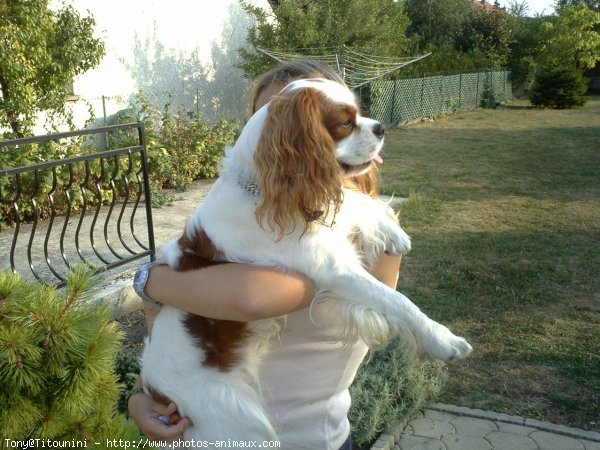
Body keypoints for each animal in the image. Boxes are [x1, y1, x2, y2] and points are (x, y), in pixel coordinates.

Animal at [138, 77, 472, 442]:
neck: (260, 189)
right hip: (236, 421)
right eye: (345, 122)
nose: (380, 127)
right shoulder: (335, 270)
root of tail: (156, 389)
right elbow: (396, 301)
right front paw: (442, 339)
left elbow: (354, 200)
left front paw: (390, 230)